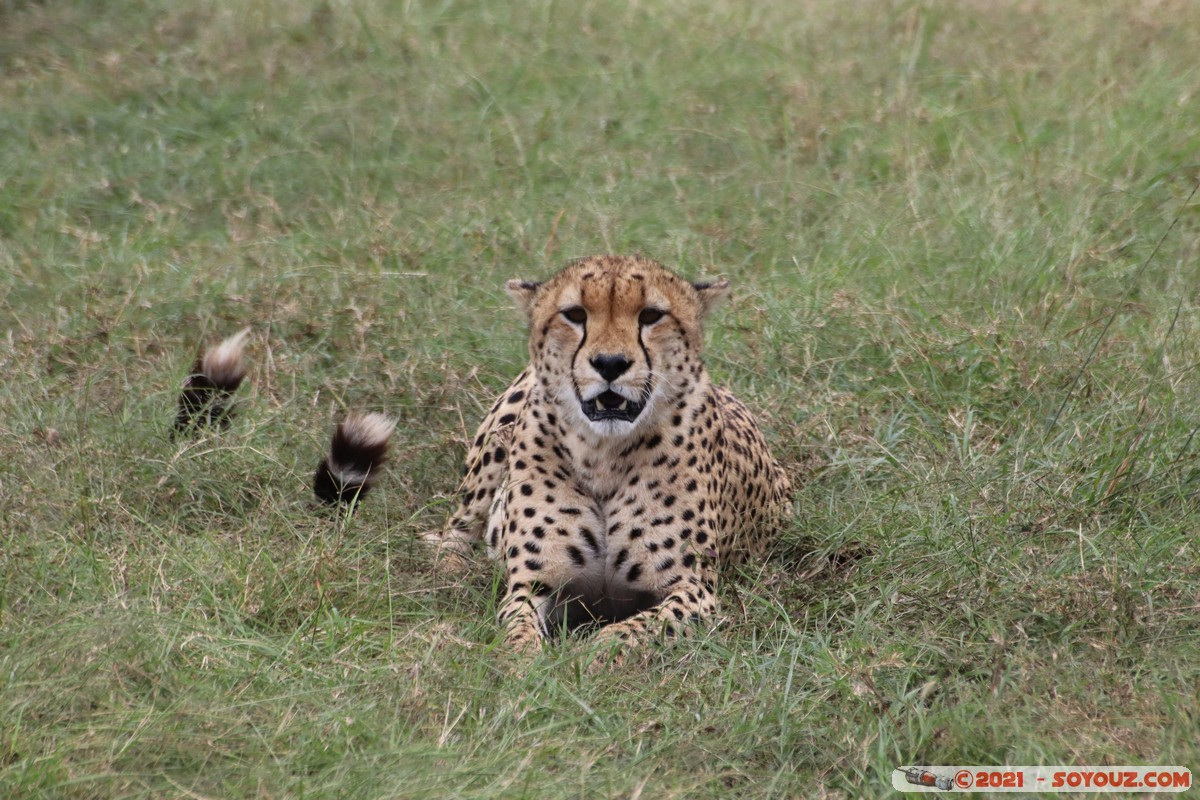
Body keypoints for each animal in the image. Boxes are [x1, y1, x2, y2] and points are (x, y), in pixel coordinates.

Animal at [427, 260, 792, 652]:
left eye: (651, 315)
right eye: (574, 314)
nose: (610, 363)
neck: (602, 454)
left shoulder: (693, 590)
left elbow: (631, 631)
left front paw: (588, 655)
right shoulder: (531, 585)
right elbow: (519, 630)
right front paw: (525, 657)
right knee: (458, 528)